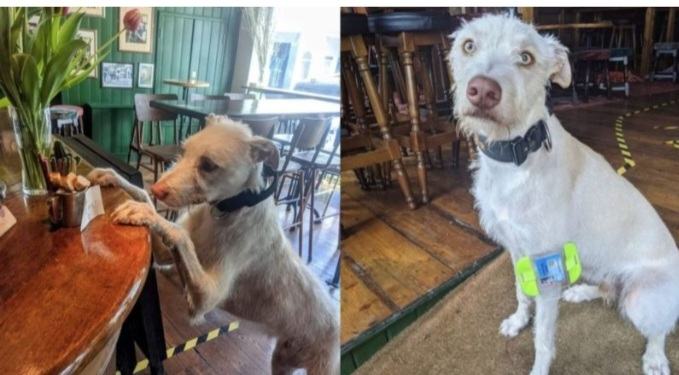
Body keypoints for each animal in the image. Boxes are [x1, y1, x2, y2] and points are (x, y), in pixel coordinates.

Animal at [452, 14, 679, 375]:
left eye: (526, 57)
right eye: (468, 45)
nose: (483, 91)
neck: (515, 158)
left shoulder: (547, 272)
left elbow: (543, 340)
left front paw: (538, 367)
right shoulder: (517, 251)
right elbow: (520, 292)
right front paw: (518, 321)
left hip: (642, 298)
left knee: (659, 328)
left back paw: (655, 358)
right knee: (608, 289)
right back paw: (581, 292)